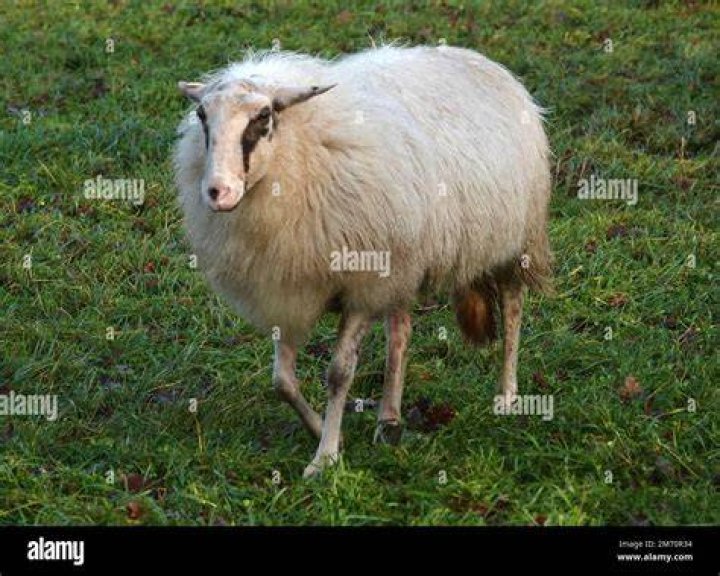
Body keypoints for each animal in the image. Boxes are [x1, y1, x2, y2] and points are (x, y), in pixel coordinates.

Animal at [174, 45, 552, 478]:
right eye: (201, 115)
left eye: (263, 116)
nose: (216, 192)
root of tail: (480, 59)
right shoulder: (291, 289)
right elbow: (282, 382)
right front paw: (326, 432)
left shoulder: (361, 285)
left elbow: (339, 373)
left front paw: (324, 457)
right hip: (403, 260)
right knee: (400, 332)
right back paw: (389, 418)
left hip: (513, 241)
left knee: (512, 308)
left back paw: (507, 395)